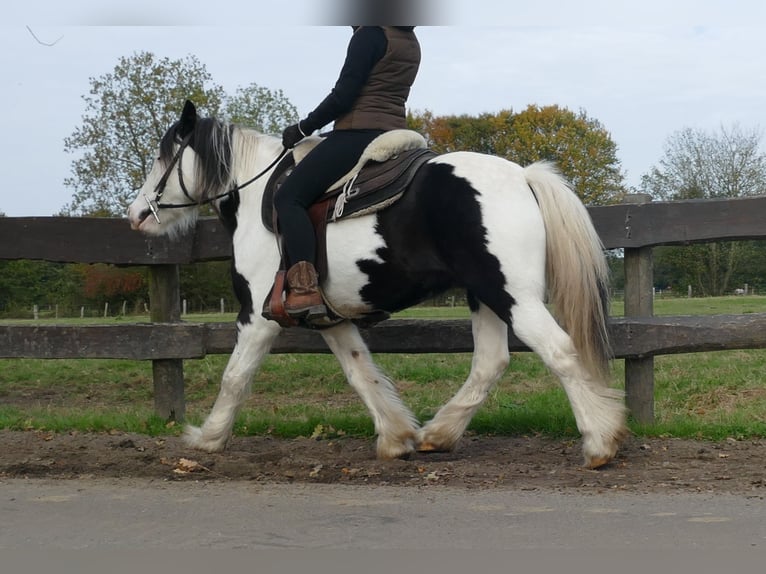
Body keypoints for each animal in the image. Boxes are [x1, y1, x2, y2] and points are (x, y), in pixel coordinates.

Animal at [129, 101, 628, 470]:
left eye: (162, 155)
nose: (135, 215)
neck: (257, 198)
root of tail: (523, 175)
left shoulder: (258, 317)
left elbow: (234, 376)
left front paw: (207, 438)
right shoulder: (328, 317)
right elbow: (360, 372)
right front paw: (396, 436)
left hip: (512, 295)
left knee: (559, 351)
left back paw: (599, 443)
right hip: (485, 295)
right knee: (490, 362)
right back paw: (436, 436)